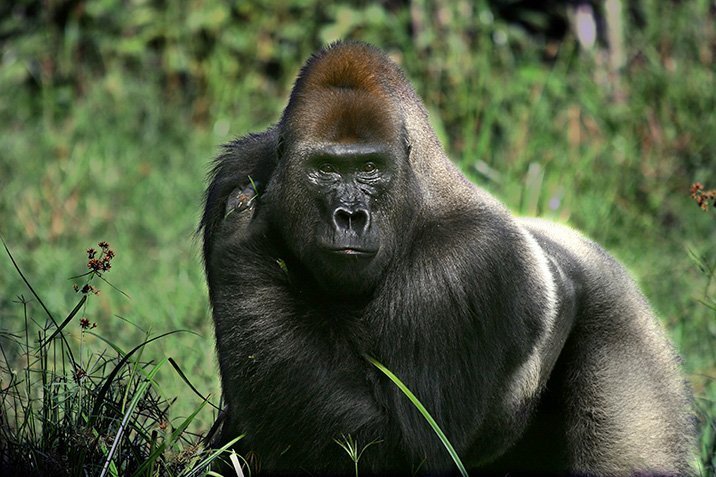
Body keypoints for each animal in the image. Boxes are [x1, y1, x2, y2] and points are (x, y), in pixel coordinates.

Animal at [200, 40, 695, 475]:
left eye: (370, 168)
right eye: (325, 168)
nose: (351, 216)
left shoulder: (463, 265)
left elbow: (403, 449)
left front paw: (243, 240)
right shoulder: (239, 166)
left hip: (624, 320)